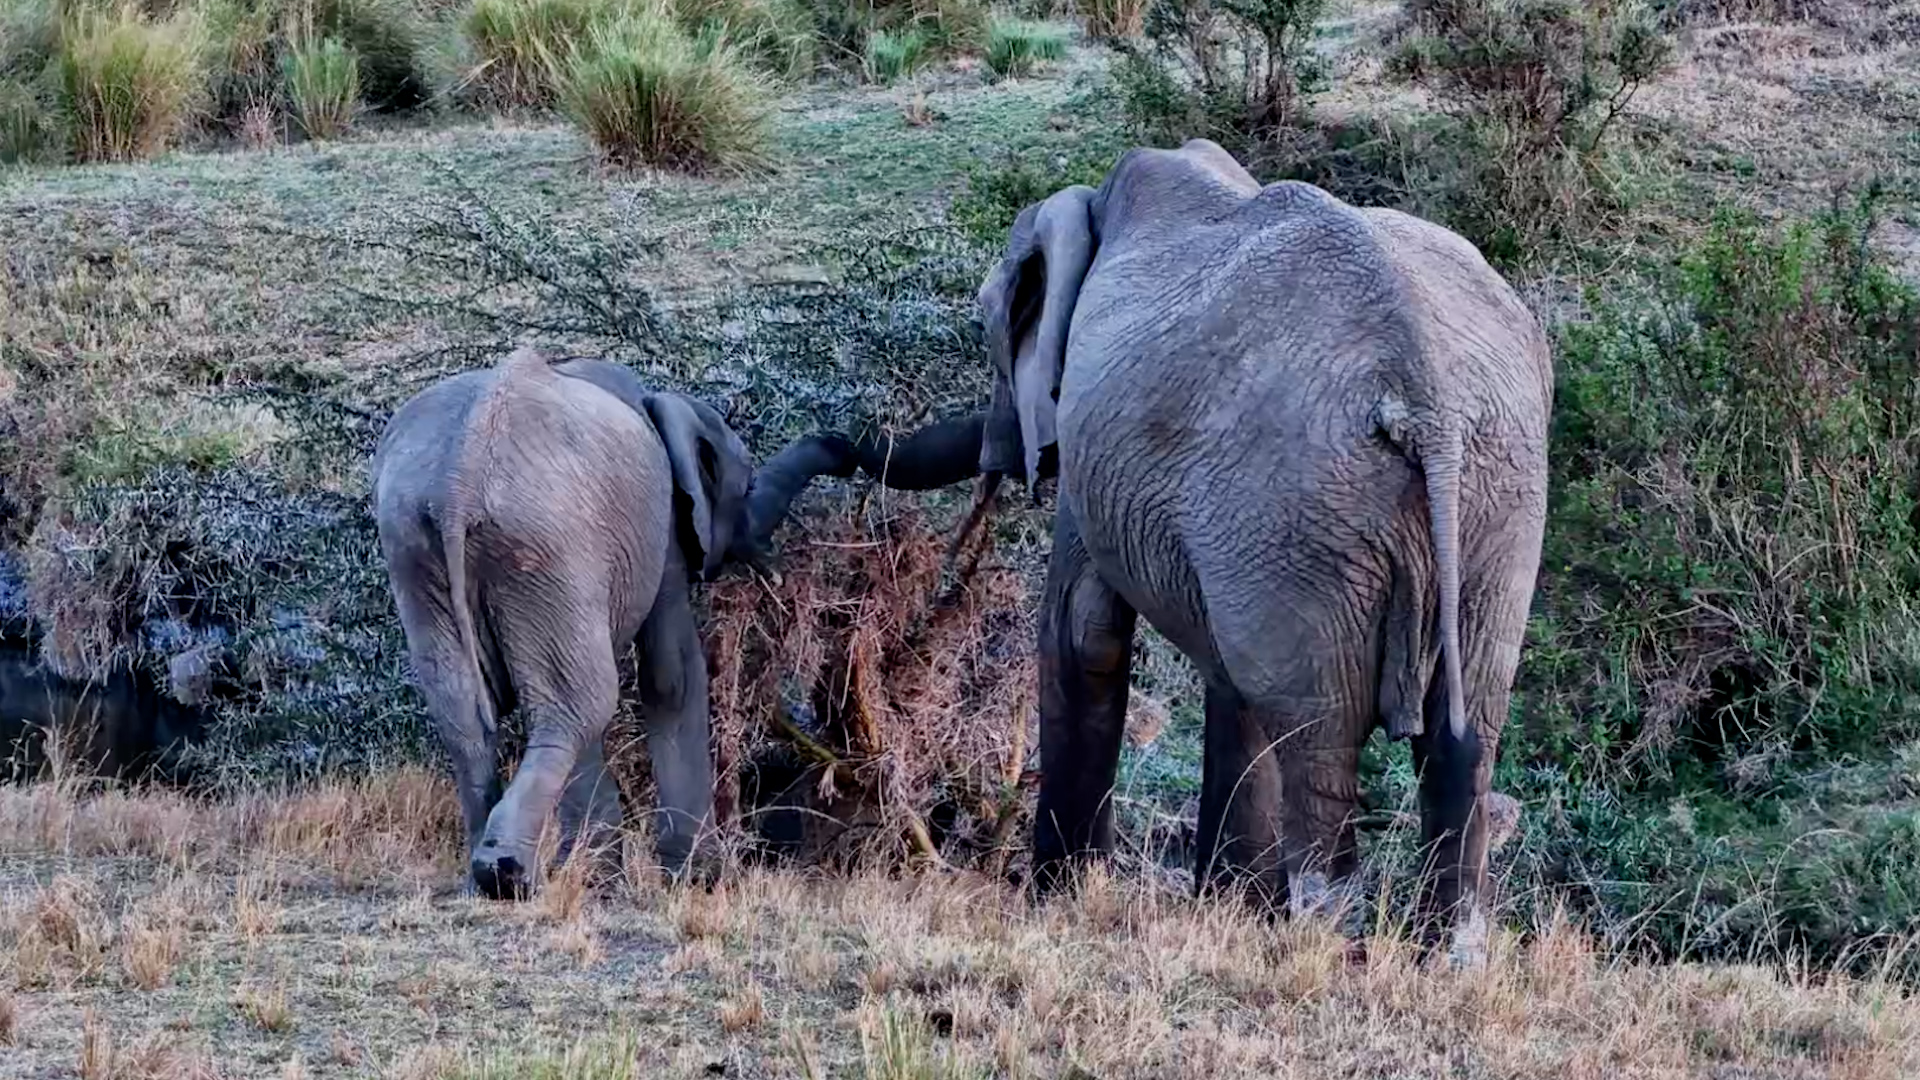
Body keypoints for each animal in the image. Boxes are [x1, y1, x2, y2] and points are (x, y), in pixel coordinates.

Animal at [373, 346, 837, 899]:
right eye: (744, 485)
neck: (660, 401)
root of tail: (457, 483)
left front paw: (600, 878)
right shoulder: (663, 530)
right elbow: (673, 676)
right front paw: (699, 879)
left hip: (416, 549)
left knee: (468, 712)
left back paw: (480, 881)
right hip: (545, 544)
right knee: (580, 706)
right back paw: (508, 875)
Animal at [837, 140, 1552, 963]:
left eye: (994, 329)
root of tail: (1422, 395)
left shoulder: (1098, 448)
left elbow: (1084, 635)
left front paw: (1059, 899)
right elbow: (1231, 678)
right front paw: (1230, 907)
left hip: (1304, 505)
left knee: (1321, 741)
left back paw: (1318, 946)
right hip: (1492, 499)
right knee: (1460, 738)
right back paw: (1446, 958)